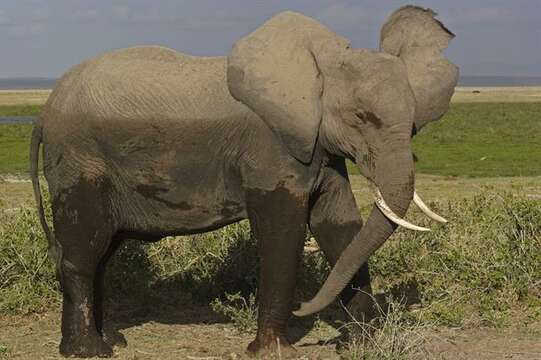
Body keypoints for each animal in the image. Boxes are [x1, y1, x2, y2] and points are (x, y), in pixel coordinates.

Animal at [30, 4, 456, 358]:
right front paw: (274, 351)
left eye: (414, 124)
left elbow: (339, 228)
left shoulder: (319, 146)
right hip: (80, 161)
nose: (305, 309)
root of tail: (43, 113)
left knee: (101, 252)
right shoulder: (271, 149)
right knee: (83, 251)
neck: (322, 64)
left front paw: (359, 345)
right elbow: (283, 235)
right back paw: (88, 351)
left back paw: (111, 341)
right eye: (362, 117)